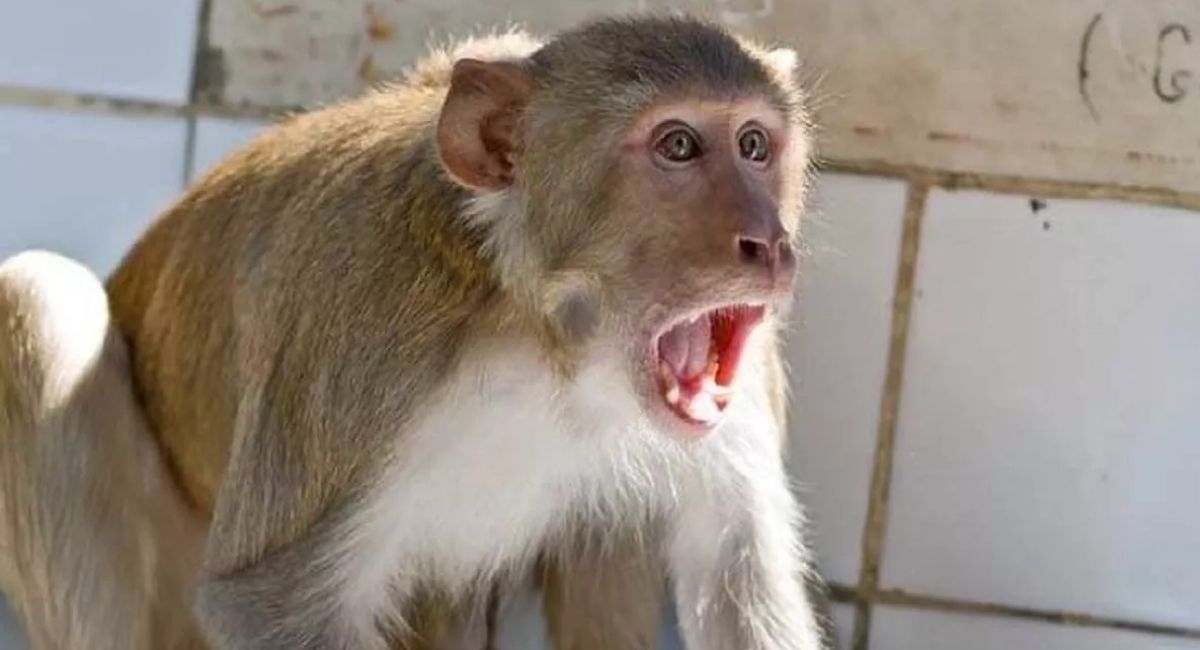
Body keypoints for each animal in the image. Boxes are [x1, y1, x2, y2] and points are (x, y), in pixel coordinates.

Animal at [0, 14, 828, 650]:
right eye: (678, 146)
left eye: (755, 145)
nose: (767, 241)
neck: (546, 337)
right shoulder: (357, 336)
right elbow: (267, 604)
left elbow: (735, 576)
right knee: (41, 293)